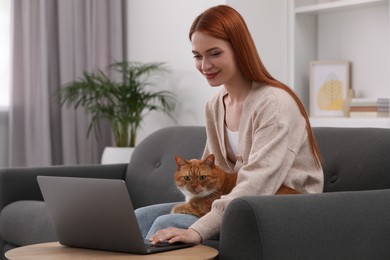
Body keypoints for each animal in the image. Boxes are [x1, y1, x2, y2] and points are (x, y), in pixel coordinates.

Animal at [171, 153, 302, 218]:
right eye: (187, 178)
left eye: (202, 177)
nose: (193, 186)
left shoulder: (203, 210)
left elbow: (178, 207)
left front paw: (174, 210)